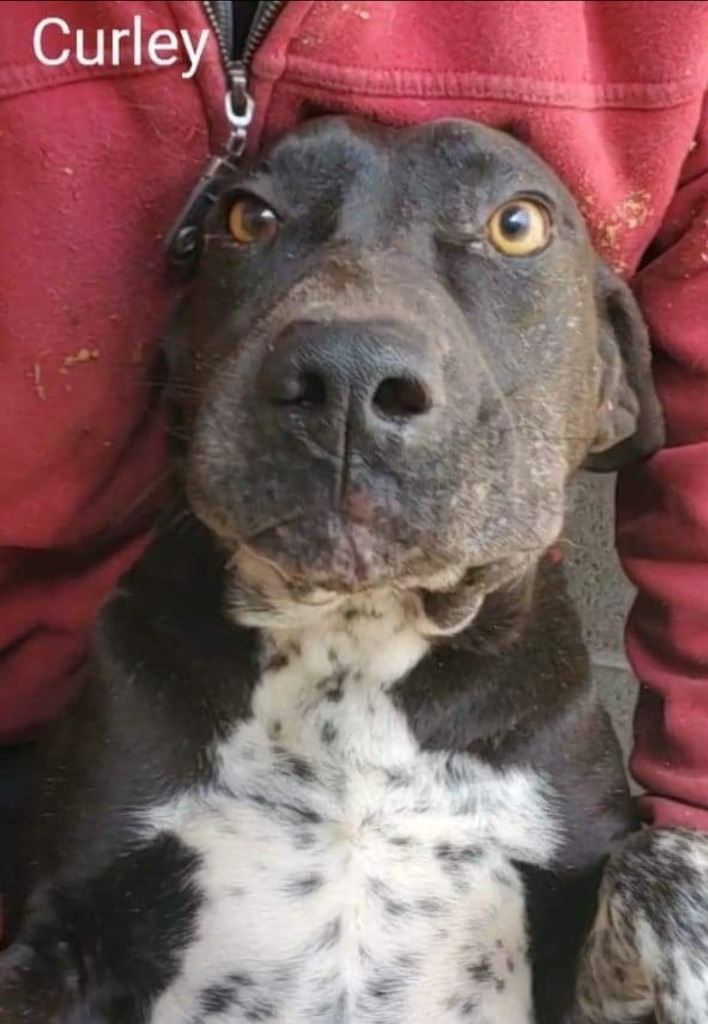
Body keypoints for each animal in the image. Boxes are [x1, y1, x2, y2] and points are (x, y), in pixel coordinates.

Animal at [1, 116, 708, 1019]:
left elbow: (668, 856)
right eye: (247, 219)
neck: (353, 648)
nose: (345, 376)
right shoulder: (56, 941)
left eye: (518, 224)